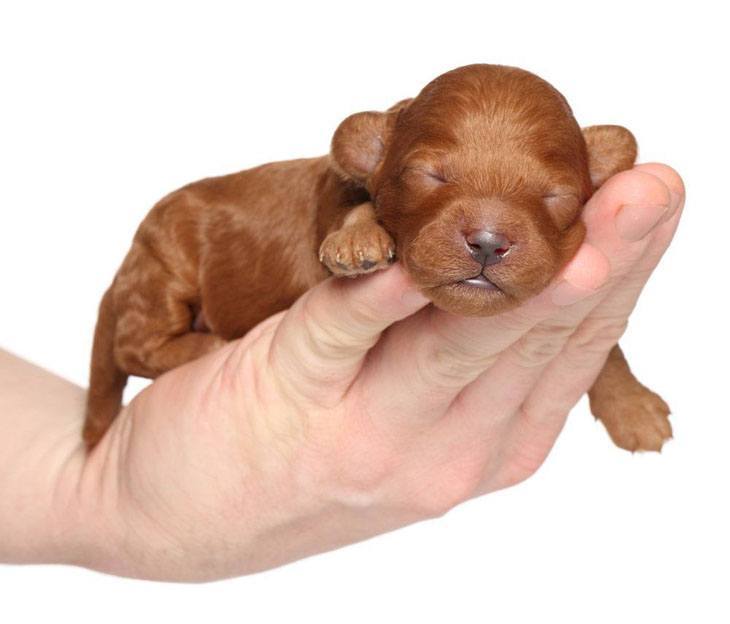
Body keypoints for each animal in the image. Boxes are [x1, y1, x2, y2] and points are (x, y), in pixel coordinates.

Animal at [84, 64, 672, 454]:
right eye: (429, 175)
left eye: (557, 196)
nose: (487, 241)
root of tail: (123, 268)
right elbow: (358, 206)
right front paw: (358, 240)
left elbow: (605, 348)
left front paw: (633, 406)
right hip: (164, 265)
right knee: (134, 345)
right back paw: (210, 342)